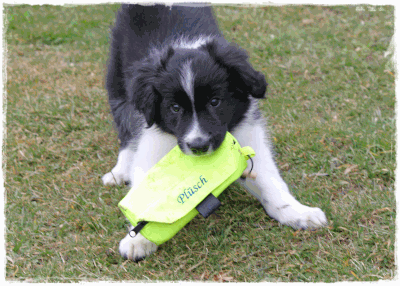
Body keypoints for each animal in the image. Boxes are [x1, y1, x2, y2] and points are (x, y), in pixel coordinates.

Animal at [101, 2, 326, 262]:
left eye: (215, 102)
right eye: (175, 108)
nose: (198, 146)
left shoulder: (247, 136)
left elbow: (270, 182)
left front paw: (298, 213)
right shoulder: (153, 140)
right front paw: (138, 238)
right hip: (117, 81)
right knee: (125, 130)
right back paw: (119, 171)